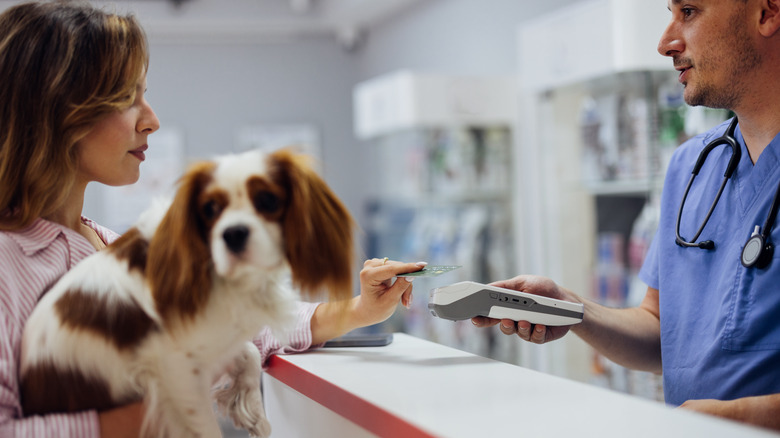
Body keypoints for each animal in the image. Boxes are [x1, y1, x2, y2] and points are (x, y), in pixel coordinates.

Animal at [19, 148, 354, 438]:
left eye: (268, 200)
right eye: (210, 209)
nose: (233, 234)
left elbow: (248, 351)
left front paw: (251, 410)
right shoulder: (175, 371)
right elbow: (206, 427)